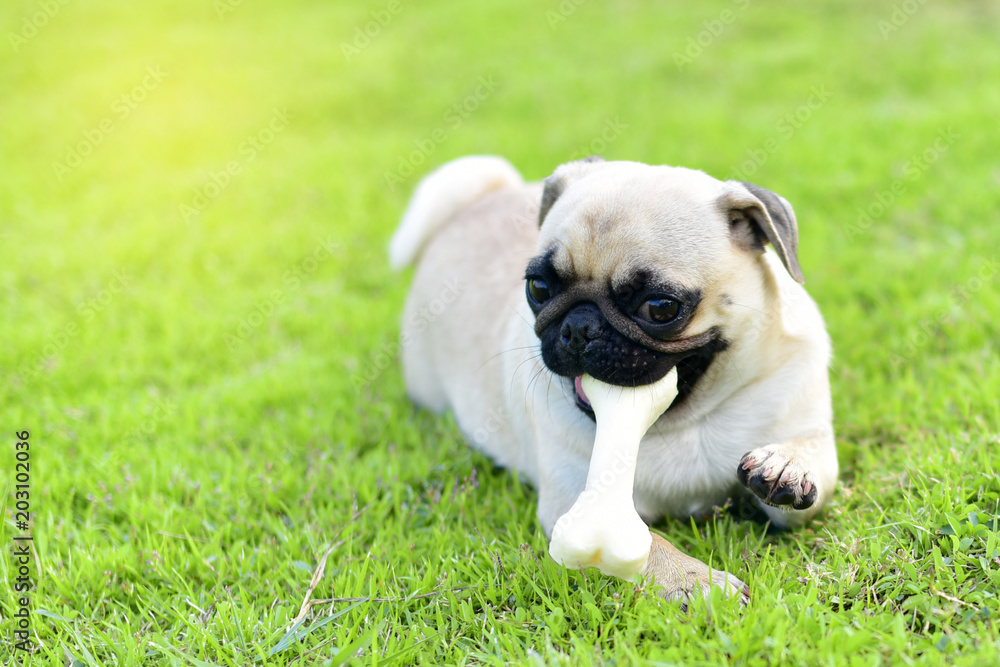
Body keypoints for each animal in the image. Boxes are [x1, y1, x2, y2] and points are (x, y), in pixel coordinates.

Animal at [388, 155, 836, 604]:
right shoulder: (577, 501)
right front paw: (697, 581)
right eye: (539, 288)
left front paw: (787, 464)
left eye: (660, 308)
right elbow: (649, 544)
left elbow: (813, 465)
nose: (579, 327)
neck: (687, 421)